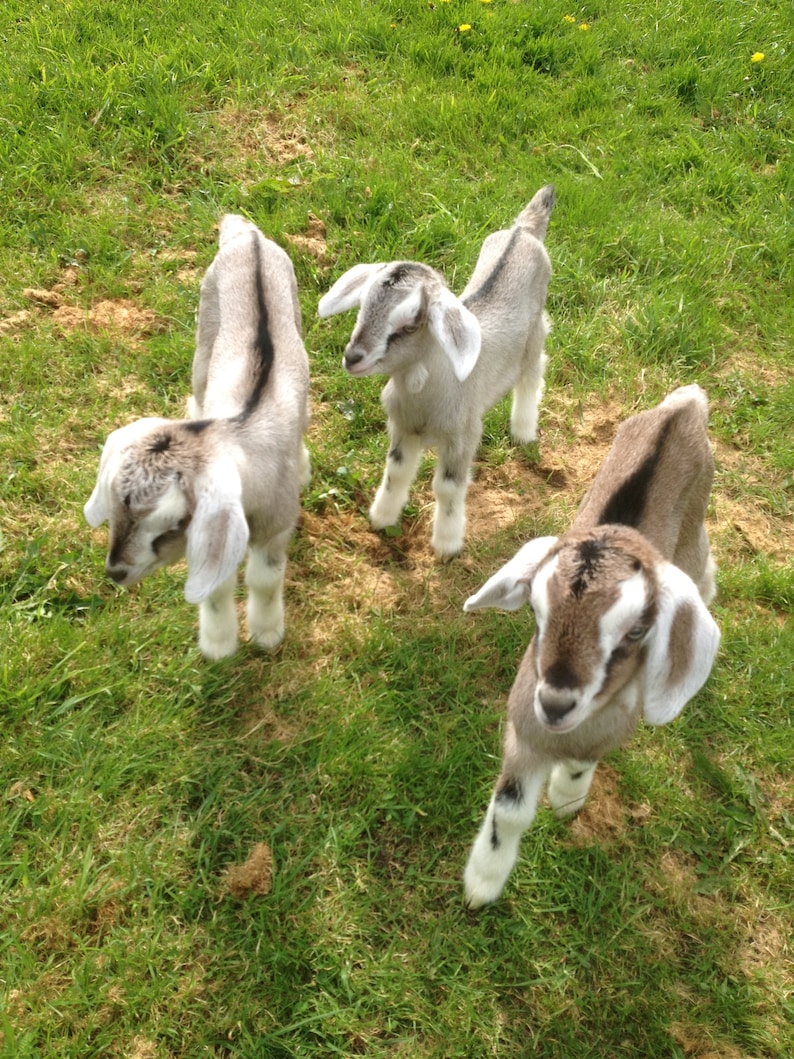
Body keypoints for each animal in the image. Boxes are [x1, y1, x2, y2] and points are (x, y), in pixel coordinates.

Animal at [84, 215, 311, 660]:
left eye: (172, 525)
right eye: (115, 508)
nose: (116, 572)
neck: (238, 428)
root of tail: (248, 236)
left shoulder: (276, 524)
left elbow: (263, 579)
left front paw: (266, 635)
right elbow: (217, 587)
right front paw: (219, 645)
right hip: (204, 334)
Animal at [317, 185, 555, 559]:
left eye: (410, 321)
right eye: (363, 305)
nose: (352, 357)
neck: (424, 398)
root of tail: (523, 231)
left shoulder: (463, 434)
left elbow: (447, 488)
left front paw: (446, 545)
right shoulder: (402, 427)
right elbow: (396, 472)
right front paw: (382, 518)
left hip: (535, 334)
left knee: (532, 376)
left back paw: (523, 430)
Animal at [461, 385, 721, 908]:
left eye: (637, 632)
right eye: (535, 611)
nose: (555, 703)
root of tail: (688, 405)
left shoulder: (608, 727)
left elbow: (582, 764)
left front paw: (566, 797)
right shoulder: (524, 732)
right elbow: (510, 811)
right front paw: (482, 883)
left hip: (696, 530)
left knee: (704, 568)